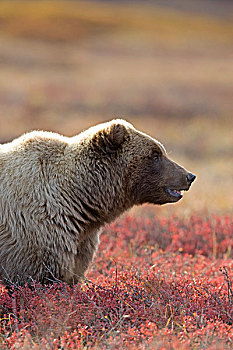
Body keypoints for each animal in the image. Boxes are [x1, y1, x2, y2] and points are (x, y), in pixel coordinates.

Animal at [0, 120, 195, 288]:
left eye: (161, 151)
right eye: (155, 155)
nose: (189, 176)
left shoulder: (81, 241)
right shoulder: (35, 231)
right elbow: (36, 278)